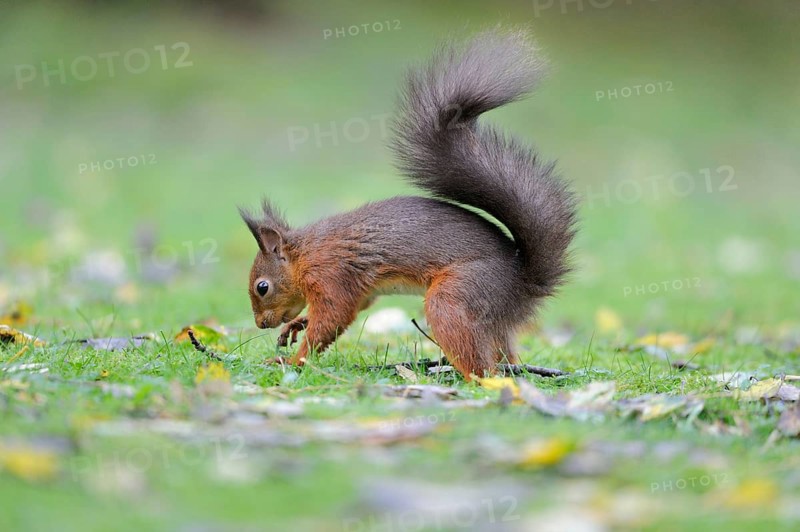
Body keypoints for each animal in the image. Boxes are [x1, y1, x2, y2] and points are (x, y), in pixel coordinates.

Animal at [240, 28, 577, 381]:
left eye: (262, 287)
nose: (260, 323)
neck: (305, 254)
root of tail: (523, 284)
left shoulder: (331, 274)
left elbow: (332, 318)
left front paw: (291, 361)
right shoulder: (361, 288)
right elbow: (354, 307)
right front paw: (296, 324)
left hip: (456, 298)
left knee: (482, 365)